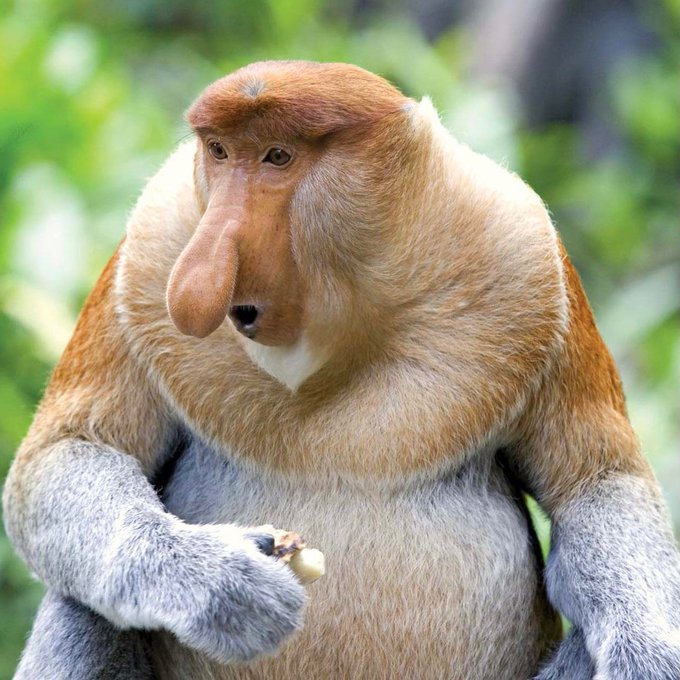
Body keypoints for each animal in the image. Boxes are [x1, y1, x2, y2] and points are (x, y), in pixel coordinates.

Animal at [4, 60, 680, 680]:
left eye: (278, 156)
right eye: (219, 152)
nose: (195, 283)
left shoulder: (527, 253)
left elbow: (597, 483)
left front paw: (647, 656)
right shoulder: (150, 247)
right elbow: (68, 453)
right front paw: (221, 583)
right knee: (82, 601)